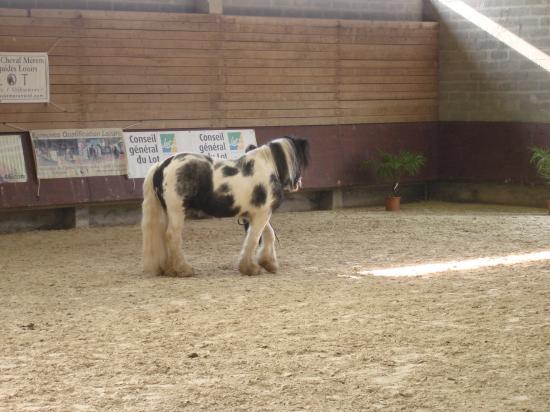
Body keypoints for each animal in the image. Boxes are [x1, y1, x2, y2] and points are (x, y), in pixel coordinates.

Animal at [142, 136, 310, 276]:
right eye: (300, 160)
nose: (299, 183)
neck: (268, 168)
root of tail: (161, 165)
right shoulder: (262, 213)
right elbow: (254, 238)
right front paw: (250, 268)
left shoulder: (256, 213)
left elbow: (268, 234)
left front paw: (268, 263)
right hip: (177, 211)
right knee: (172, 236)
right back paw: (184, 269)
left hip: (167, 212)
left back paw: (170, 269)